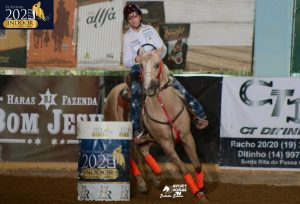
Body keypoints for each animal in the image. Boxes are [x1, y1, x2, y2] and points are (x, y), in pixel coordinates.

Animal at [104, 48, 207, 201]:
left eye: (158, 64)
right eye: (141, 65)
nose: (149, 87)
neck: (166, 107)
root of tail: (112, 94)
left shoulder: (187, 137)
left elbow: (197, 164)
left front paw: (201, 187)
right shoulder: (166, 144)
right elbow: (183, 169)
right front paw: (198, 193)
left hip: (146, 140)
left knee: (144, 153)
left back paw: (157, 177)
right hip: (123, 136)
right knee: (129, 157)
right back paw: (141, 182)